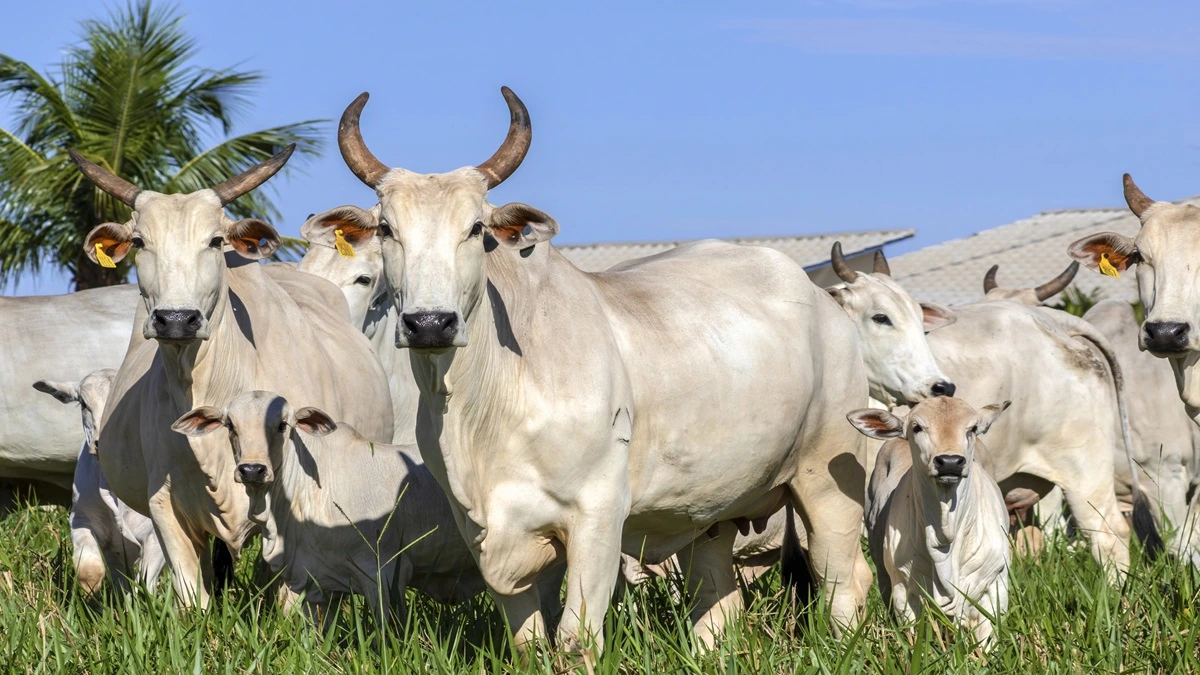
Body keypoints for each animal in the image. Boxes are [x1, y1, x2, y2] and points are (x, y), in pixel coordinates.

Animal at [33, 369, 164, 598]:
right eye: (84, 404)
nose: (103, 442)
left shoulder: (156, 534)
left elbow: (146, 583)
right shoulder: (82, 520)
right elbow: (90, 569)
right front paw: (91, 595)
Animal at [68, 146, 394, 608]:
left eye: (215, 241)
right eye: (140, 242)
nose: (176, 319)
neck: (210, 381)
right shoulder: (166, 508)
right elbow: (192, 596)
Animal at [333, 87, 873, 653]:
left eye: (476, 228)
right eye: (387, 229)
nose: (430, 323)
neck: (479, 408)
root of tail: (822, 299)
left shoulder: (598, 515)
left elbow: (576, 637)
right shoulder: (481, 531)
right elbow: (529, 642)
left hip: (827, 478)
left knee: (842, 580)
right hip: (711, 512)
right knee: (718, 602)